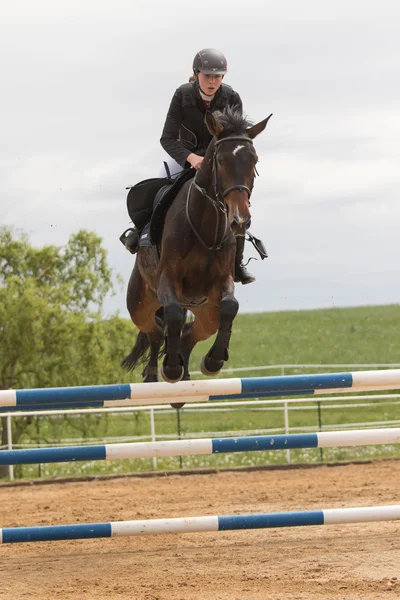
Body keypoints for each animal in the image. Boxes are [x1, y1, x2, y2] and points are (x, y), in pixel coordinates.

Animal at [122, 106, 272, 390]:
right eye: (220, 161)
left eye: (254, 161)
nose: (240, 220)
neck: (206, 227)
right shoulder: (168, 279)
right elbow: (173, 314)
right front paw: (170, 367)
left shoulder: (222, 282)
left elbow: (230, 307)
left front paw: (213, 361)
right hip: (139, 303)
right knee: (156, 330)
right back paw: (156, 374)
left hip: (206, 312)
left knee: (190, 333)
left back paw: (186, 373)